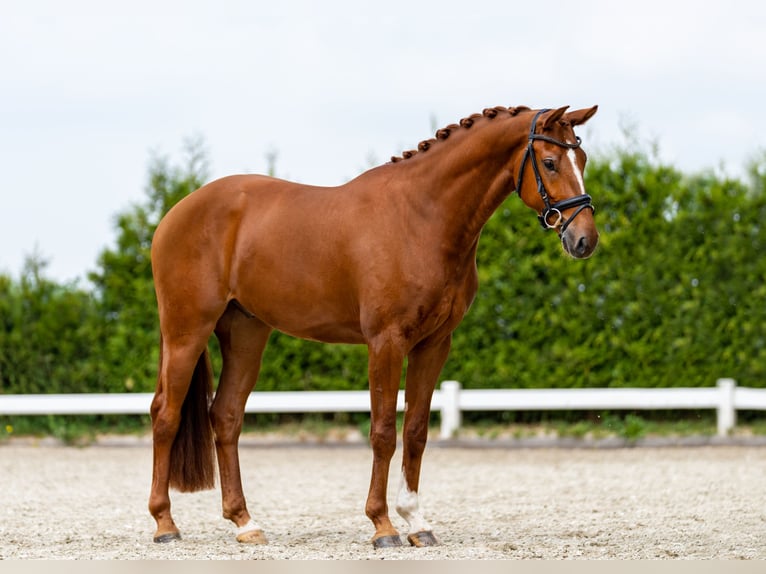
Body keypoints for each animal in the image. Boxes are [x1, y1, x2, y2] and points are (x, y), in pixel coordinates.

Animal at [148, 106, 600, 552]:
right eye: (549, 162)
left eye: (582, 159)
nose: (585, 240)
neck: (421, 217)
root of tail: (176, 213)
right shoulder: (386, 342)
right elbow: (383, 432)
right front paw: (383, 525)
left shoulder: (434, 344)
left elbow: (415, 431)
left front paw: (417, 522)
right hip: (187, 332)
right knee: (166, 414)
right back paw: (164, 523)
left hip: (246, 333)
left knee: (225, 416)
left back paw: (245, 523)